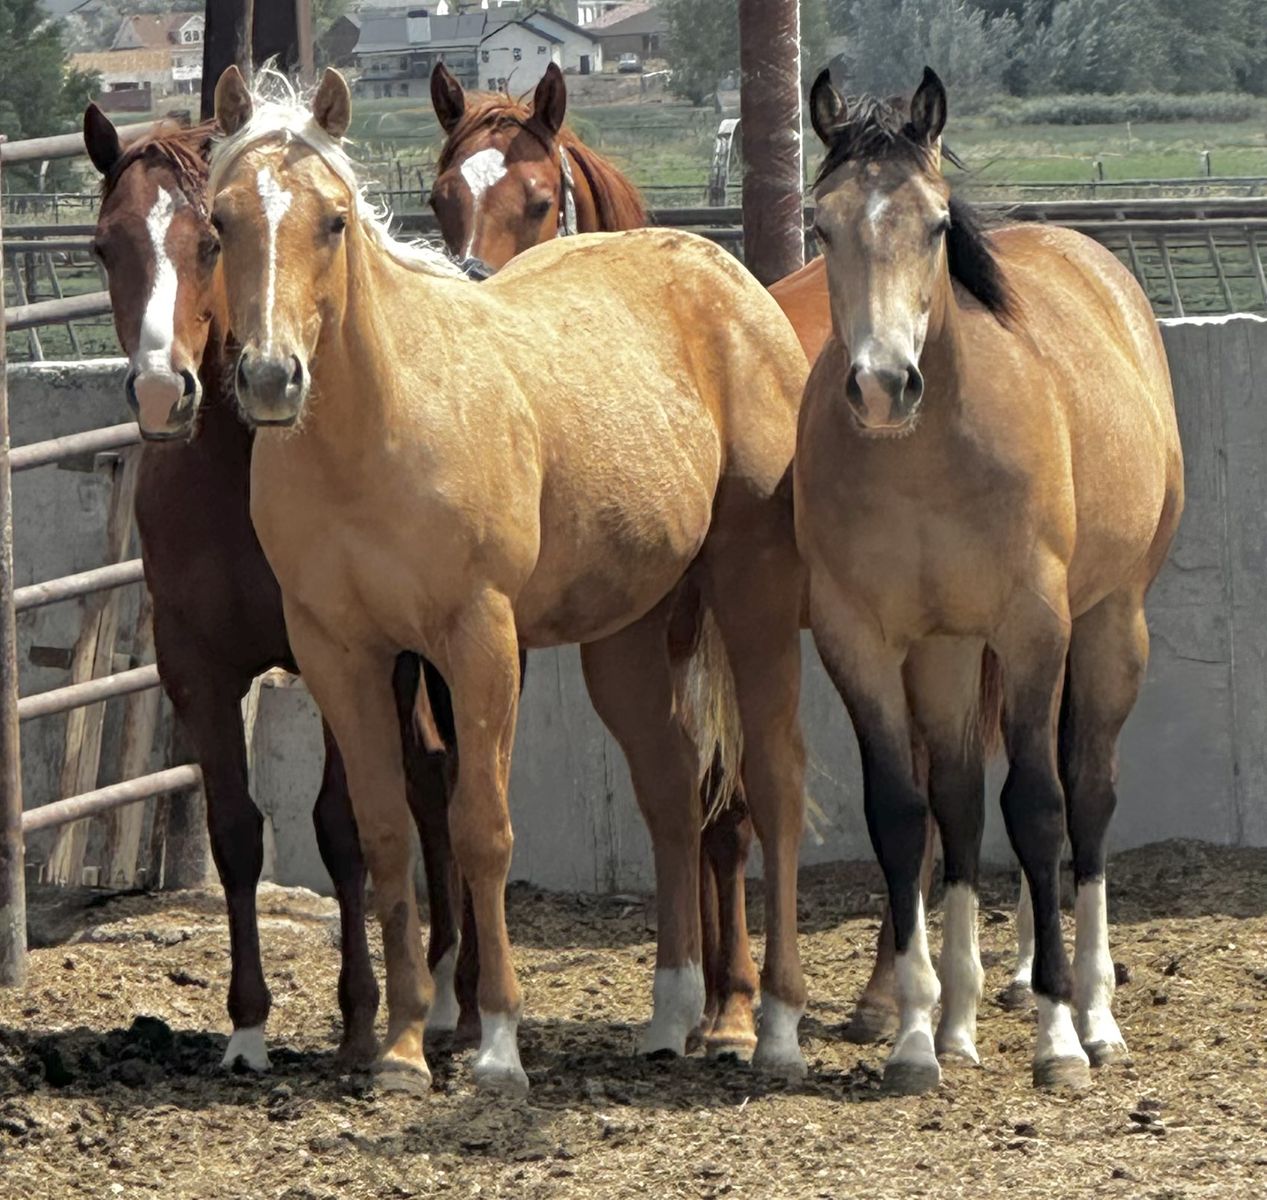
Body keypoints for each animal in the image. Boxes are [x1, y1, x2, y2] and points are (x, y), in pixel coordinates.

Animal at [83, 105, 467, 1071]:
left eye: (209, 238)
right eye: (103, 246)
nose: (161, 392)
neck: (236, 475)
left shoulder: (338, 654)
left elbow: (339, 828)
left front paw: (361, 1019)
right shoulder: (196, 670)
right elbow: (234, 833)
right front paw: (248, 1027)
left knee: (444, 780)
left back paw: (456, 993)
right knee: (423, 776)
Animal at [795, 68, 1183, 1093]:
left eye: (934, 224)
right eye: (820, 224)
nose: (882, 384)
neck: (927, 458)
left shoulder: (1033, 626)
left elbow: (1038, 809)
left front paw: (1057, 1038)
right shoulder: (863, 639)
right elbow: (908, 812)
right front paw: (915, 1037)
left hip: (1109, 624)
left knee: (1085, 793)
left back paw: (1092, 1010)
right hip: (950, 656)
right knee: (963, 801)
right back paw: (964, 1017)